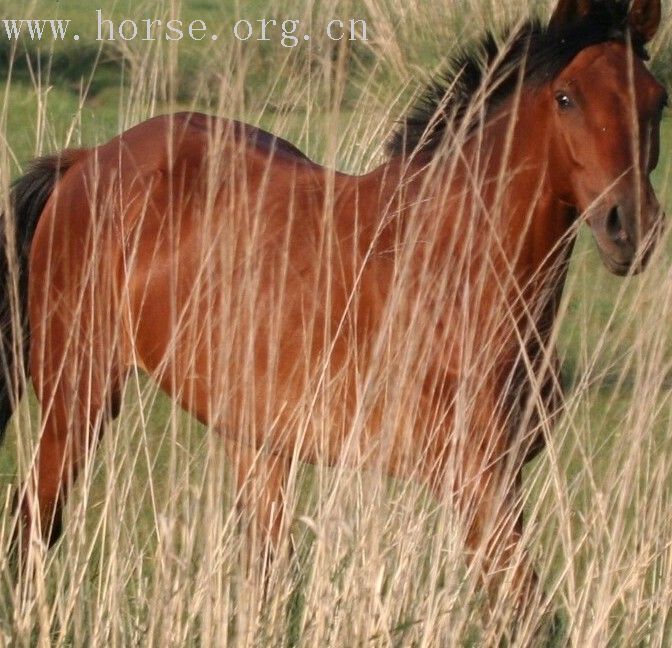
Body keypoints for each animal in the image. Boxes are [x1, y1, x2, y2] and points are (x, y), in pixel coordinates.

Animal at [0, 0, 668, 612]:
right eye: (565, 97)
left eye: (657, 101)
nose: (629, 226)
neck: (453, 257)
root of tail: (86, 160)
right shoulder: (472, 479)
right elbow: (525, 612)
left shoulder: (505, 473)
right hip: (78, 397)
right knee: (32, 524)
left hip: (255, 440)